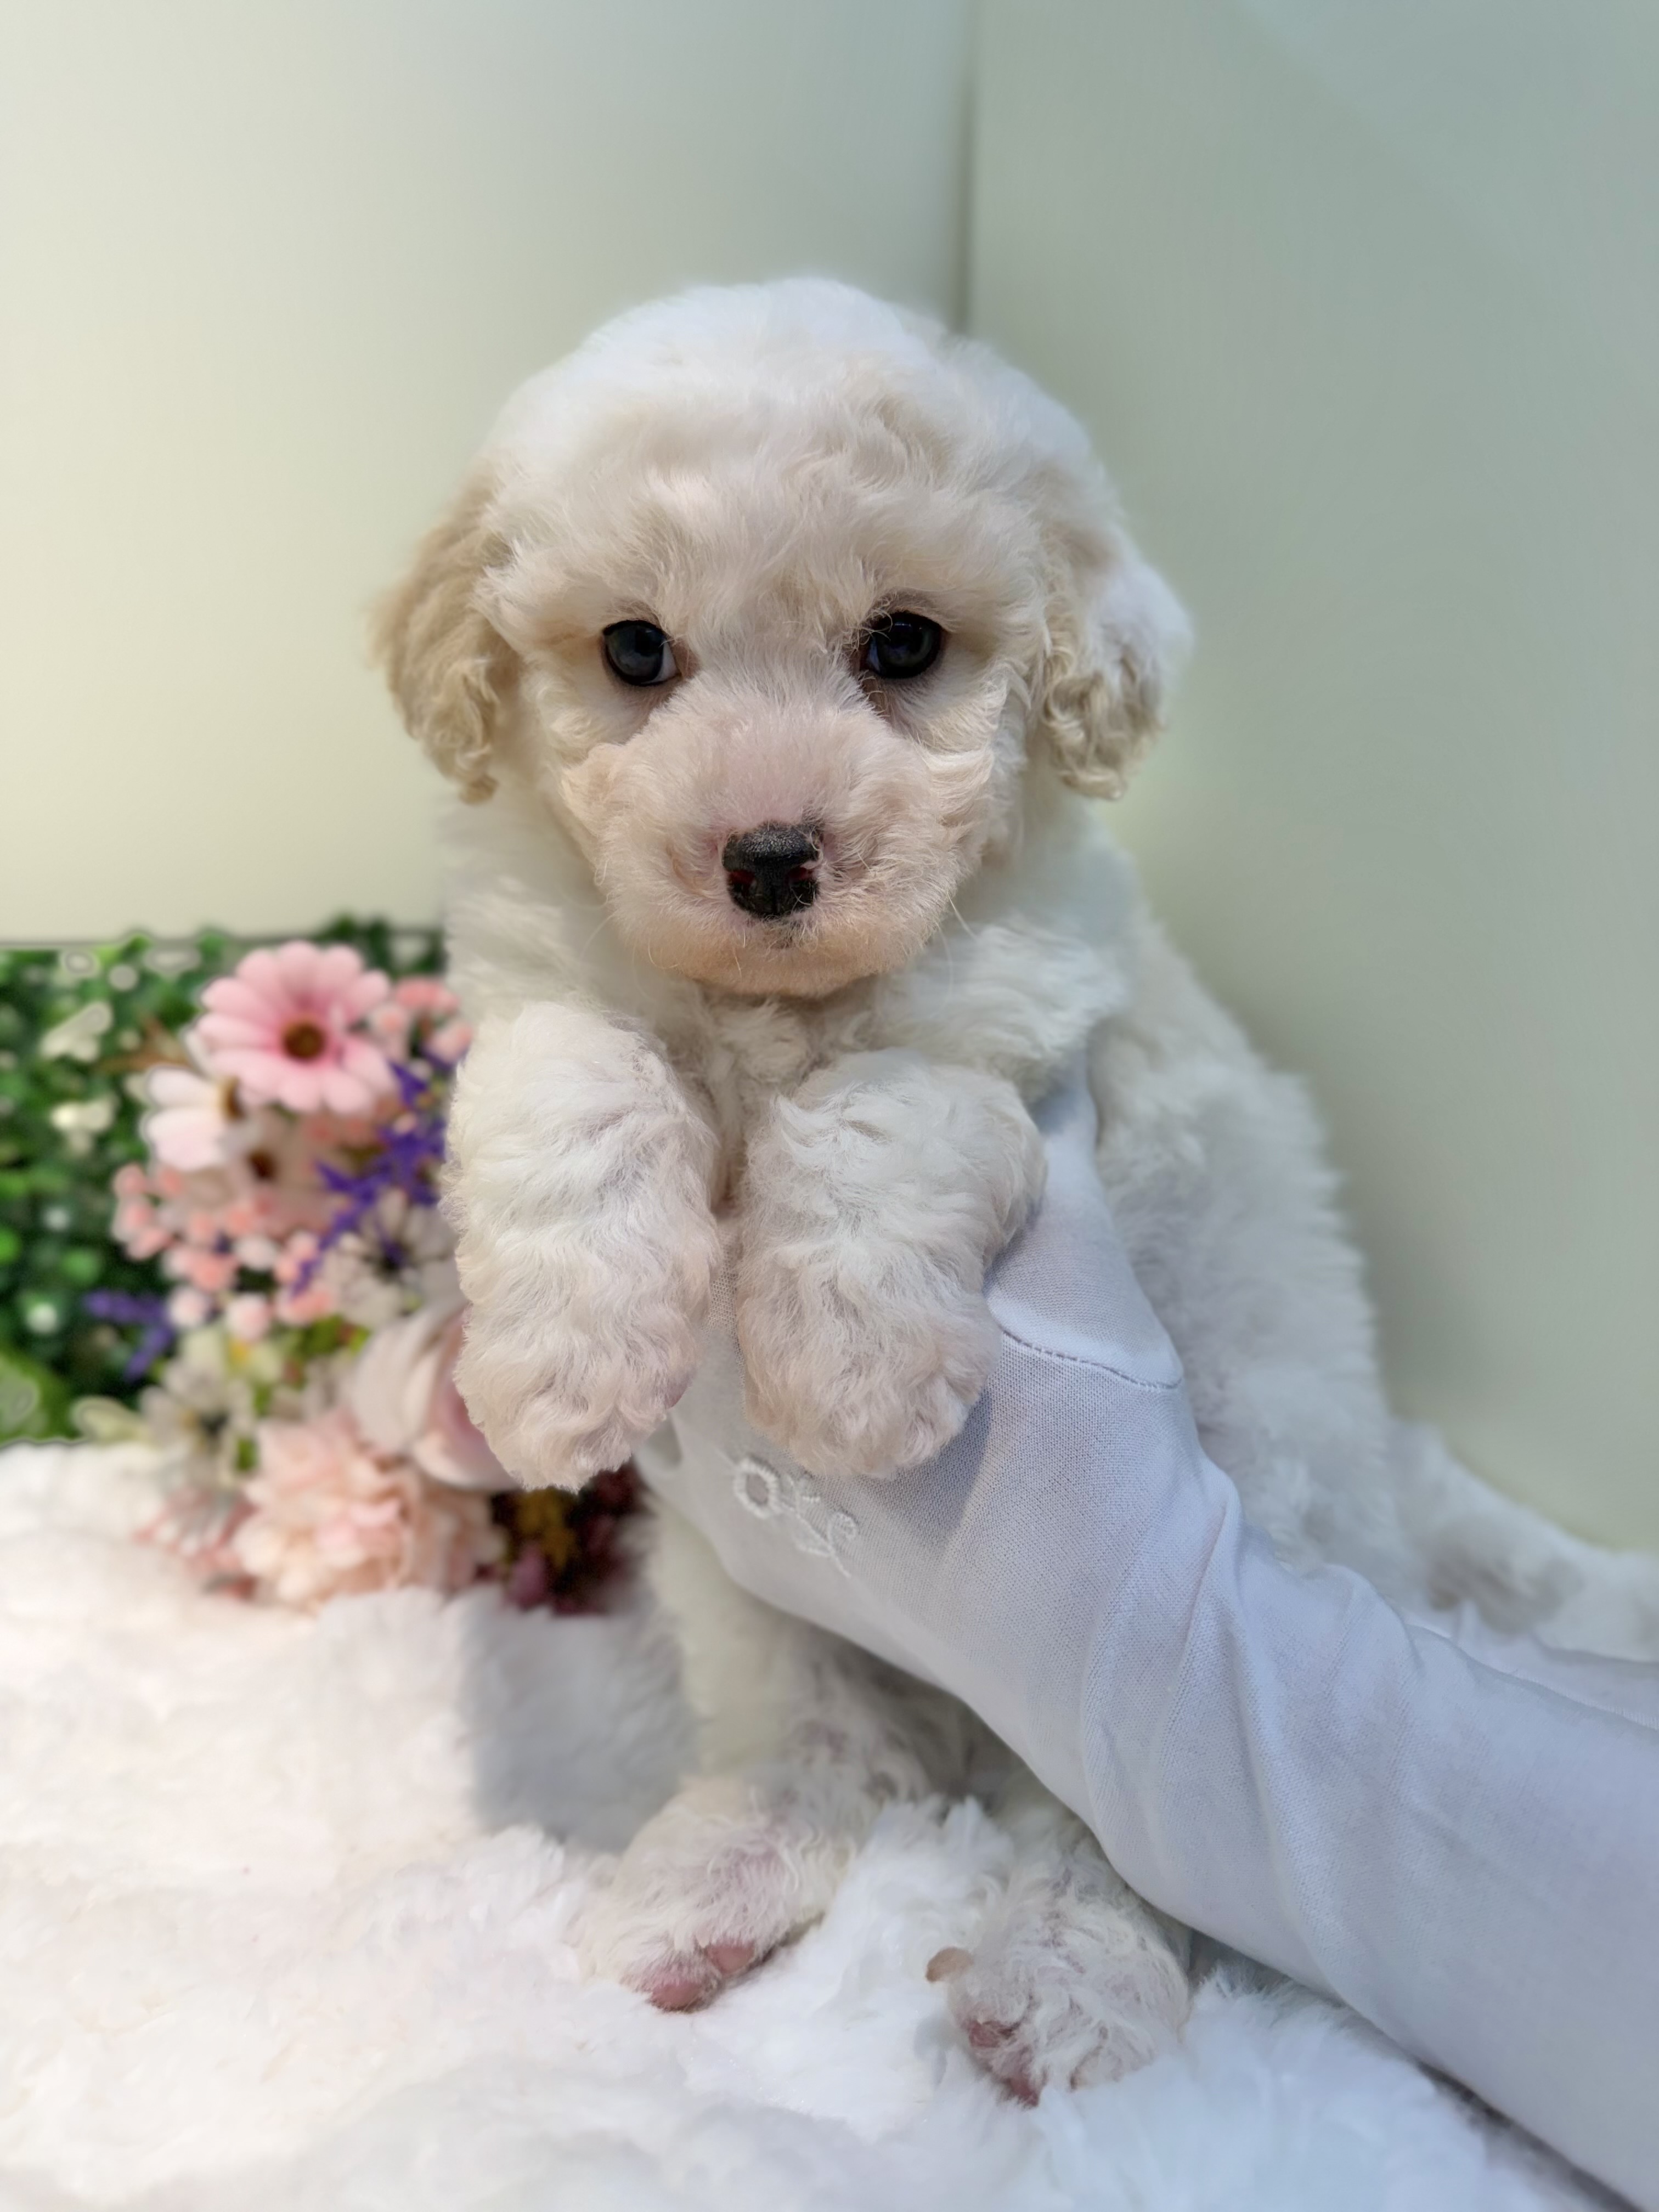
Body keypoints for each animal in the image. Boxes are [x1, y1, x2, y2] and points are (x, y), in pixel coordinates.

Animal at [377, 279, 1659, 2097]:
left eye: (904, 646)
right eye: (633, 652)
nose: (771, 857)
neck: (773, 1010)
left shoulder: (1027, 1031)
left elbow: (884, 1115)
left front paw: (846, 1381)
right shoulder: (546, 981)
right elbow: (575, 1083)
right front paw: (564, 1367)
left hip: (1235, 1547)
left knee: (1133, 1824)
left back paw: (1064, 1982)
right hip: (757, 1613)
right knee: (840, 1745)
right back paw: (709, 1883)